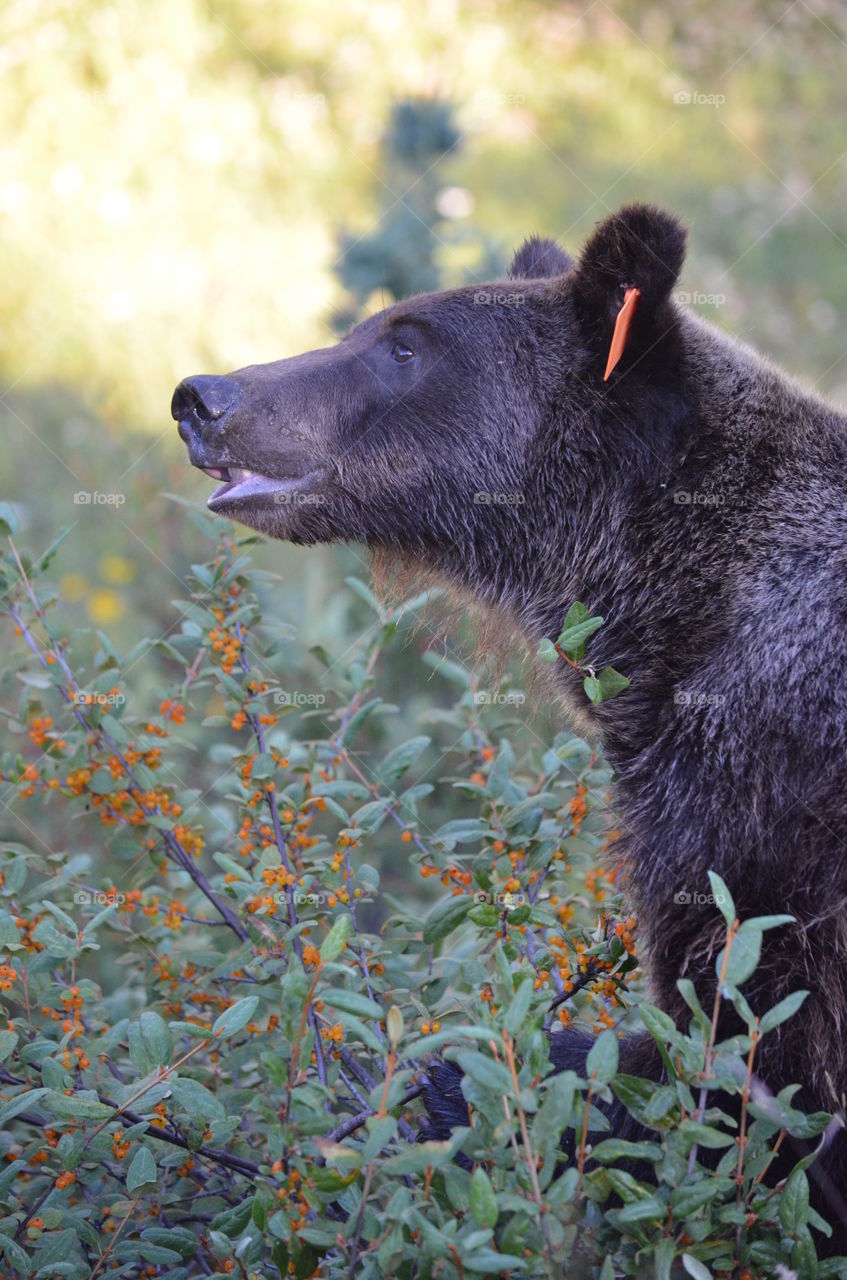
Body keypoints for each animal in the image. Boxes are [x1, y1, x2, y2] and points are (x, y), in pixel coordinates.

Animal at [172, 203, 847, 1252]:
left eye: (405, 343)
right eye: (376, 327)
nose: (202, 396)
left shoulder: (762, 799)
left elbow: (748, 1056)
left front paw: (464, 1084)